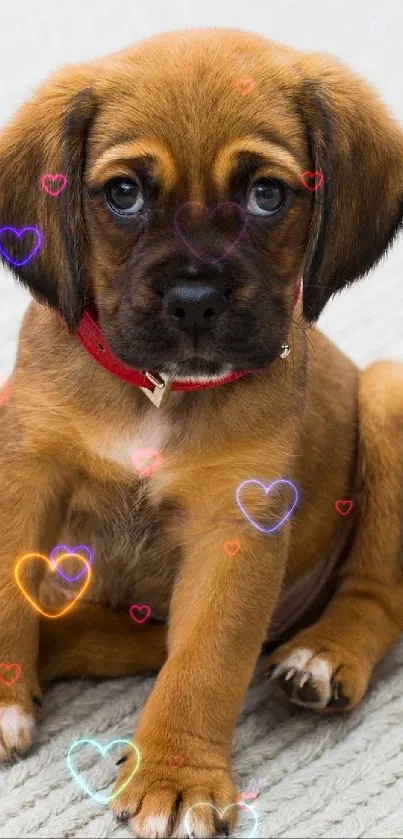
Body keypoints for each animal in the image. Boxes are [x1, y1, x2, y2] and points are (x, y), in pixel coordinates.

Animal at [0, 27, 403, 839]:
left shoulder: (236, 521)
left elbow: (206, 662)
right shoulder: (25, 471)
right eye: (123, 193)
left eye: (266, 194)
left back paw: (324, 655)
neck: (156, 391)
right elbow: (3, 589)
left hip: (386, 392)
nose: (193, 300)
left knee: (378, 593)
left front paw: (177, 777)